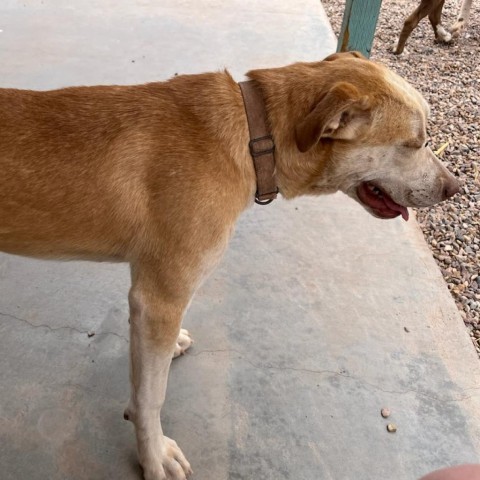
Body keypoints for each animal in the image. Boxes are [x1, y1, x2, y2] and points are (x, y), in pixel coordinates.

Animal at [0, 50, 460, 478]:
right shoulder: (159, 298)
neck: (252, 134)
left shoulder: (149, 296)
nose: (454, 188)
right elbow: (150, 397)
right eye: (413, 143)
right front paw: (154, 455)